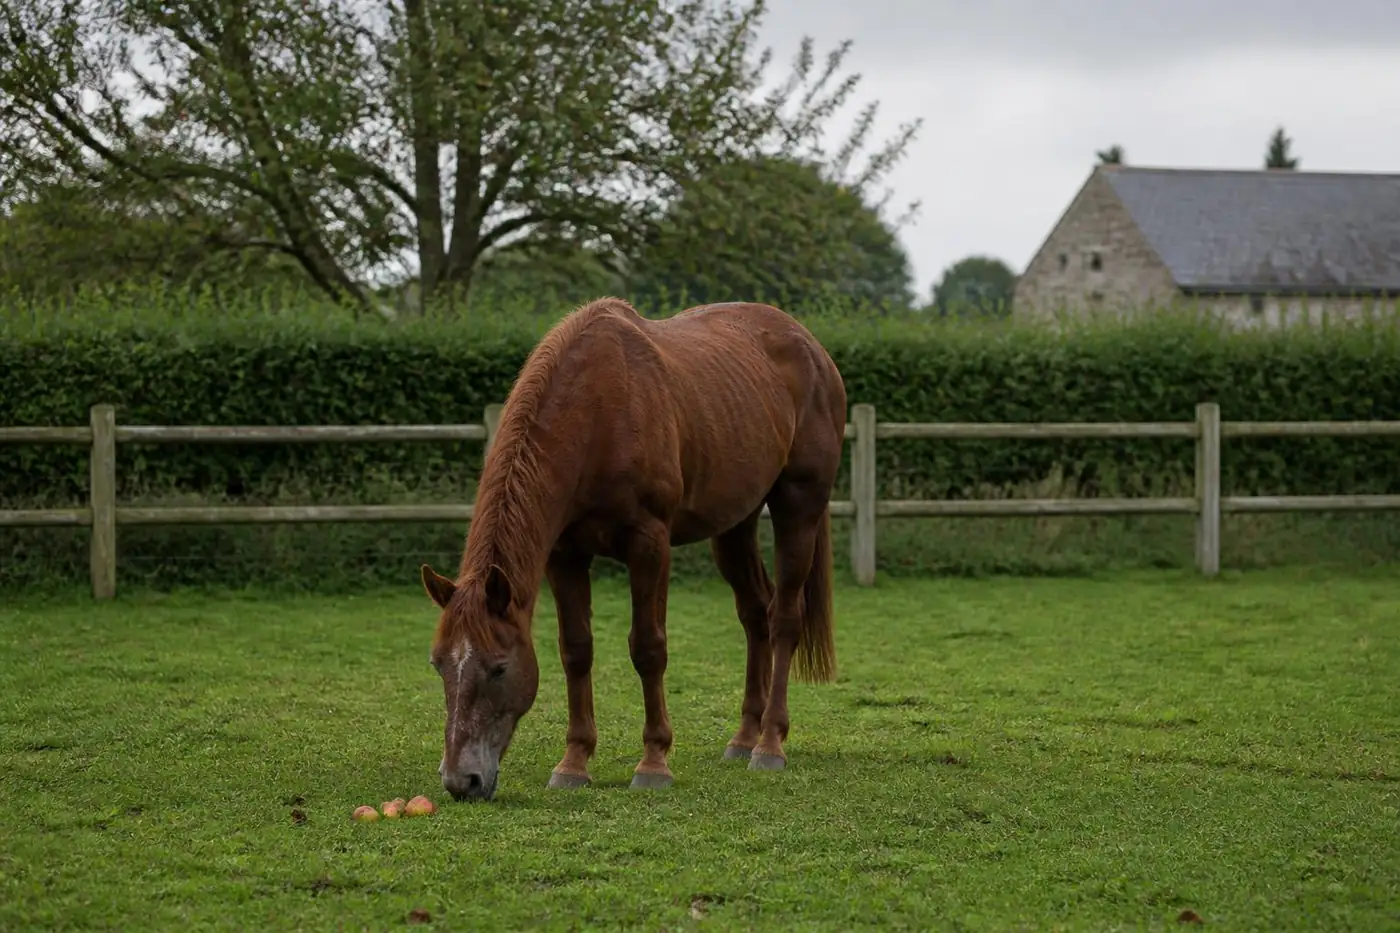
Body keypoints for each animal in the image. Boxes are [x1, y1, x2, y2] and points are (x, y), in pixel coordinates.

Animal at [419, 297, 847, 801]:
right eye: (438, 665)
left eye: (499, 668)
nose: (461, 781)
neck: (599, 411)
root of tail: (812, 348)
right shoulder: (565, 555)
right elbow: (576, 649)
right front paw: (574, 763)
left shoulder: (649, 544)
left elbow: (648, 648)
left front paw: (654, 761)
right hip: (733, 525)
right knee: (755, 613)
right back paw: (744, 737)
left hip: (799, 506)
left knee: (783, 618)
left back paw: (770, 743)